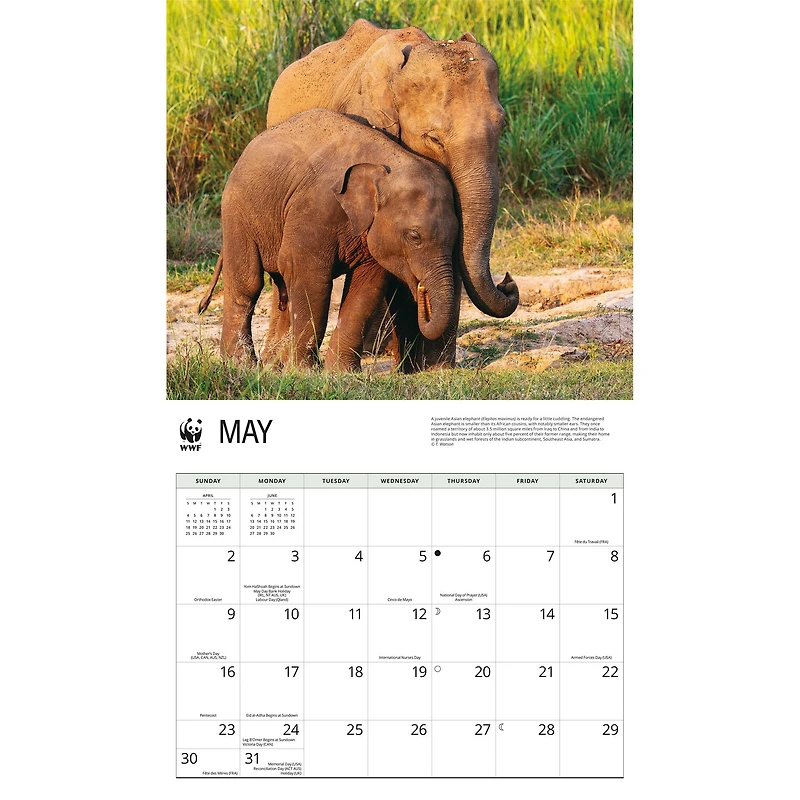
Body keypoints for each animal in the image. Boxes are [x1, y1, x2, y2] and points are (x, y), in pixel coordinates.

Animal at [197, 109, 459, 370]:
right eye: (414, 236)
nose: (422, 291)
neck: (389, 161)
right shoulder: (314, 208)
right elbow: (307, 274)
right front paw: (305, 371)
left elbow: (367, 286)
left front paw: (339, 372)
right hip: (237, 211)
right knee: (248, 283)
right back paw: (241, 364)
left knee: (284, 291)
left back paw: (275, 366)